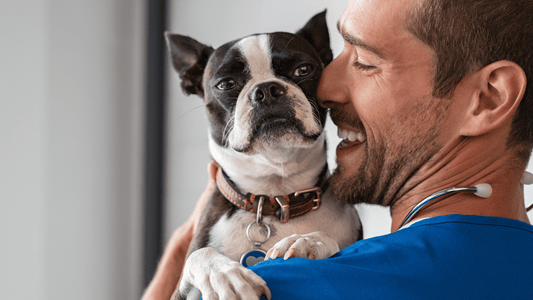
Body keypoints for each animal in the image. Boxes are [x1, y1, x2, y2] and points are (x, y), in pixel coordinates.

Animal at [164, 10, 362, 298]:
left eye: (304, 69)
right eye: (226, 84)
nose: (267, 90)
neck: (273, 196)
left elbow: (328, 239)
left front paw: (307, 241)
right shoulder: (179, 291)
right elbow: (200, 254)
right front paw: (225, 276)